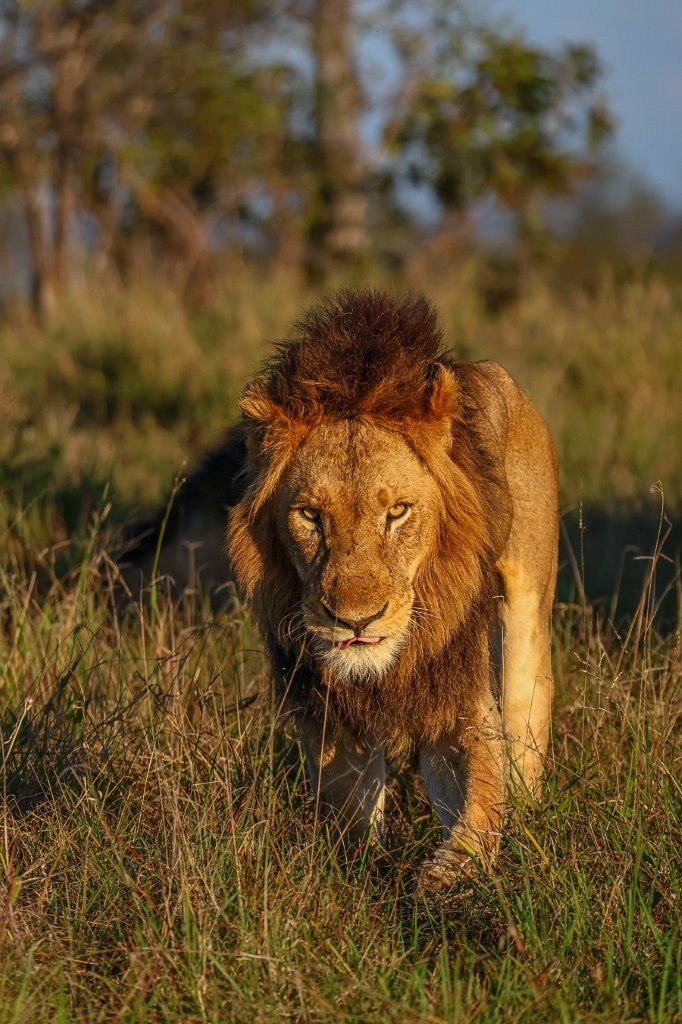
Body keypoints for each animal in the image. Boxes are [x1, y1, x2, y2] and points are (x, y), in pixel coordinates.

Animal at [123, 289, 558, 888]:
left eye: (397, 512)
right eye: (310, 515)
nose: (355, 620)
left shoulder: (456, 688)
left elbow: (482, 798)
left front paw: (445, 878)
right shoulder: (326, 707)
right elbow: (349, 812)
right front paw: (355, 874)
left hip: (526, 606)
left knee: (526, 709)